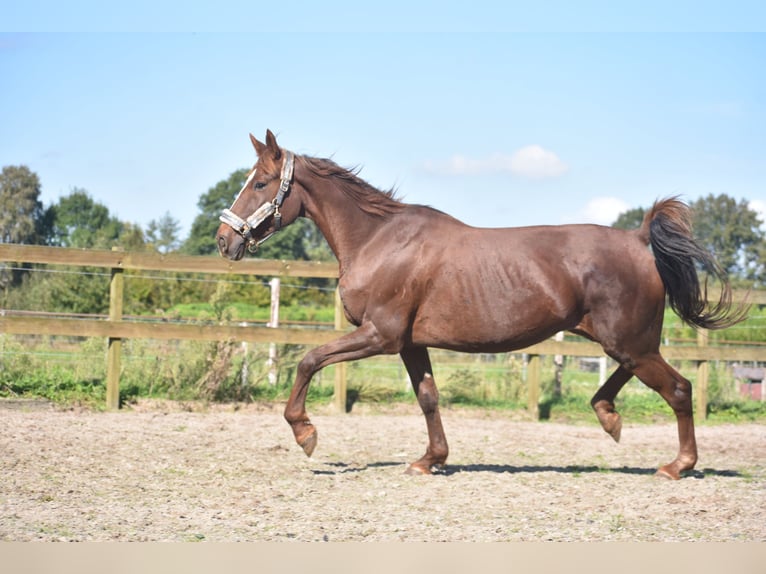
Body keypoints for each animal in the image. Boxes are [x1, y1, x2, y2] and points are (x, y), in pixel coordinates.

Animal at [218, 130, 752, 482]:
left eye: (261, 183)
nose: (225, 240)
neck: (378, 240)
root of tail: (640, 240)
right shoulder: (408, 343)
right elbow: (428, 398)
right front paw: (430, 460)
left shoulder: (380, 335)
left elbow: (309, 359)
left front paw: (305, 433)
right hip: (623, 340)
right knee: (634, 378)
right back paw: (608, 416)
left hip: (631, 341)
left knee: (679, 389)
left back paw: (676, 465)